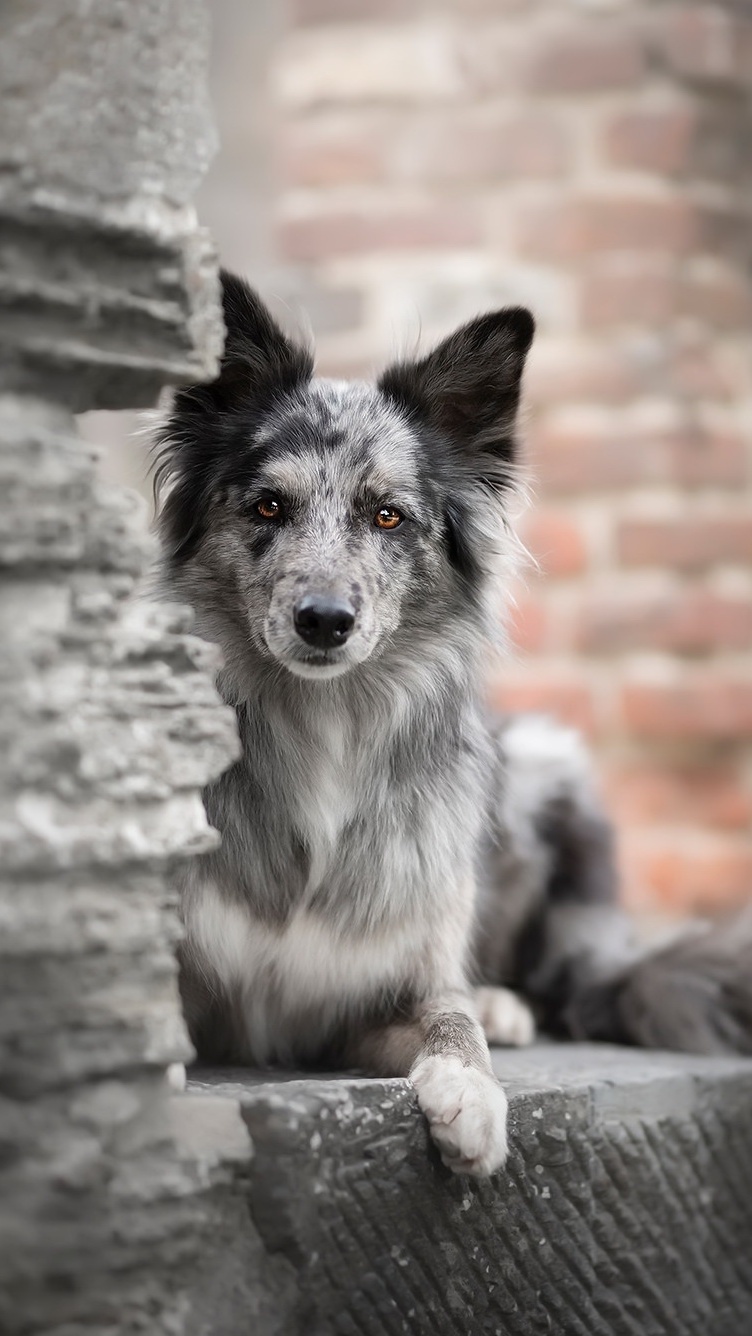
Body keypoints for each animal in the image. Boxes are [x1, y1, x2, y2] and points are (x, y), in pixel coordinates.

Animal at [151, 273, 752, 1181]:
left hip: (544, 765)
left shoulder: (380, 990)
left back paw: (505, 1003)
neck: (324, 723)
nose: (323, 621)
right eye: (267, 505)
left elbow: (452, 1020)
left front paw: (474, 1096)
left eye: (389, 517)